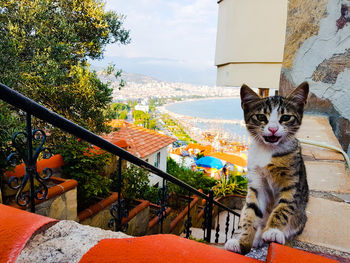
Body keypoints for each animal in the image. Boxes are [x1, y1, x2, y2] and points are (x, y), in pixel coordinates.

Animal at [226, 83, 308, 256]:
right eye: (261, 117)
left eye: (286, 117)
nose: (273, 129)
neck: (268, 150)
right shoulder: (257, 183)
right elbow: (251, 211)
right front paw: (243, 241)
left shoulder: (292, 182)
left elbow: (284, 207)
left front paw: (273, 230)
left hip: (300, 218)